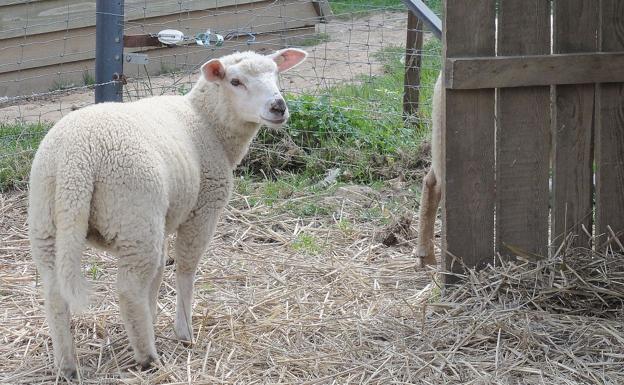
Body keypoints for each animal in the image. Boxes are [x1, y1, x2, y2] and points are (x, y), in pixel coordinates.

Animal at [28, 47, 308, 376]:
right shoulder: (202, 211)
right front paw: (184, 331)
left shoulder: (163, 220)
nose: (278, 107)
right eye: (235, 81)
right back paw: (147, 358)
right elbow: (185, 270)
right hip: (135, 215)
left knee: (55, 292)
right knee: (129, 290)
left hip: (49, 219)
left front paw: (153, 318)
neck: (206, 123)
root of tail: (78, 155)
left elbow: (159, 273)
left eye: (276, 74)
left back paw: (67, 365)